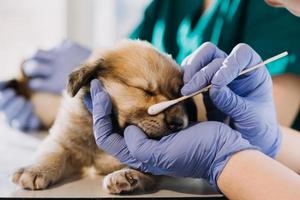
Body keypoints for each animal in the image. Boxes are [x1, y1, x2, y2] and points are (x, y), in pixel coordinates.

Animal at [11, 39, 199, 194]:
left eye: (179, 95)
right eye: (146, 91)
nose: (179, 123)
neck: (114, 129)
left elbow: (146, 164)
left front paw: (128, 175)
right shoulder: (65, 139)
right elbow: (52, 153)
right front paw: (35, 170)